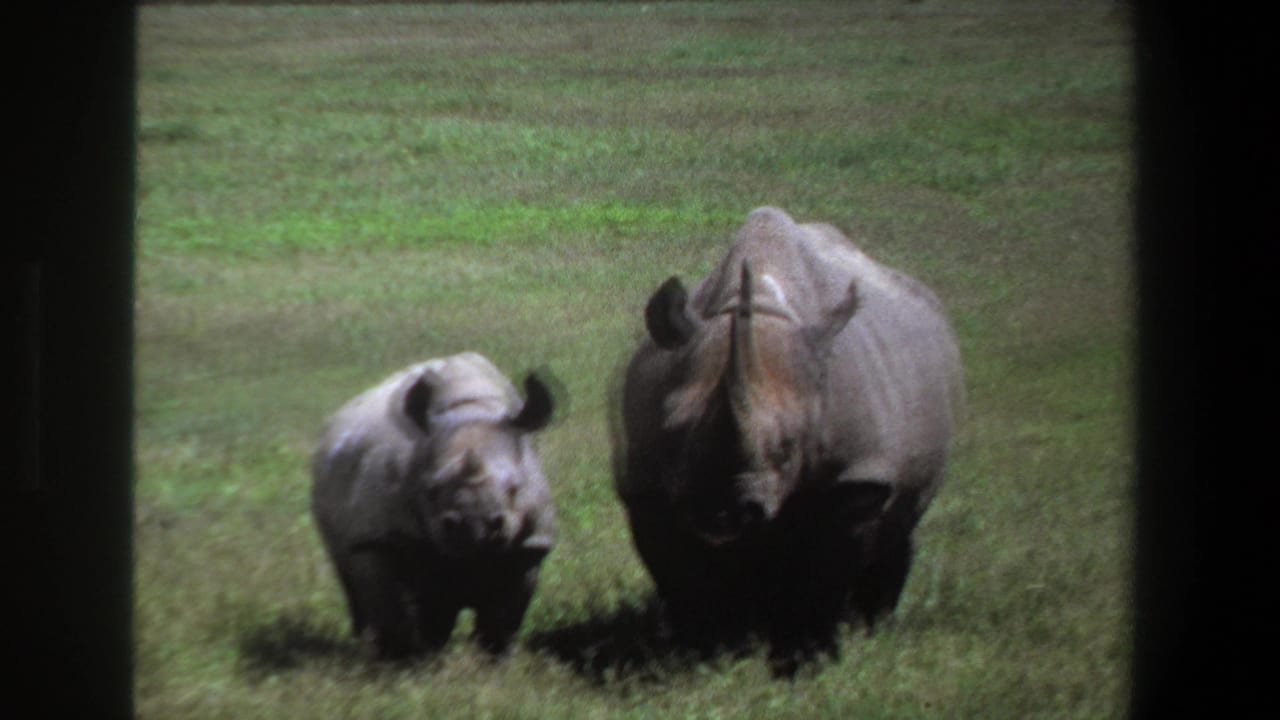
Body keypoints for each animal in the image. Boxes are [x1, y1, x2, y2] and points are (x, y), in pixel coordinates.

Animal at [311, 352, 556, 659]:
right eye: (431, 491)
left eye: (515, 489)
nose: (473, 527)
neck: (472, 407)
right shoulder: (377, 538)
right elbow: (390, 606)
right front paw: (401, 661)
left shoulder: (529, 544)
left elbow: (503, 617)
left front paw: (494, 660)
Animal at [616, 207, 963, 669]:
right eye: (672, 432)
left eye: (788, 447)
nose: (720, 512)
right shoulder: (648, 483)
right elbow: (679, 572)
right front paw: (705, 652)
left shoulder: (857, 476)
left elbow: (822, 571)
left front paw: (808, 659)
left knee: (899, 526)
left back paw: (874, 627)